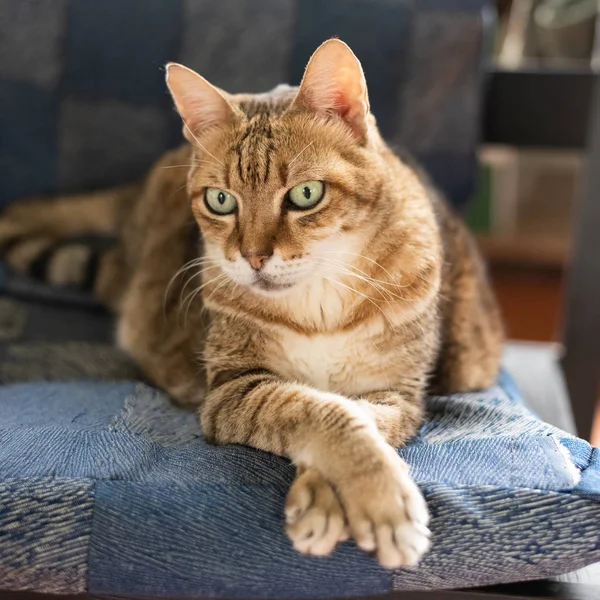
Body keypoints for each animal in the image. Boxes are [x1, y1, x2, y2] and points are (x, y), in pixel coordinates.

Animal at [0, 41, 504, 568]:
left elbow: (361, 414)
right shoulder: (231, 388)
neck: (319, 302)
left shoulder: (397, 392)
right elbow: (319, 410)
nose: (254, 257)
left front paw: (328, 494)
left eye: (306, 194)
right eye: (221, 201)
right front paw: (376, 498)